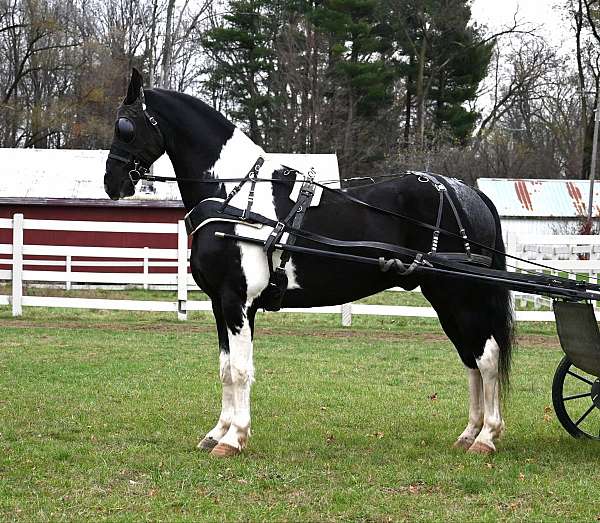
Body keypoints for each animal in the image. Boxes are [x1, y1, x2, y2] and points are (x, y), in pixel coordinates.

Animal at [104, 70, 516, 458]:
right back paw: (470, 433)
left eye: (125, 126)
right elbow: (225, 369)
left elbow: (240, 370)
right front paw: (217, 433)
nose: (112, 182)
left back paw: (487, 436)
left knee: (487, 356)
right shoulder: (220, 303)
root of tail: (467, 193)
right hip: (445, 298)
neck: (234, 197)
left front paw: (234, 438)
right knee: (470, 358)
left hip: (459, 295)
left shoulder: (238, 301)